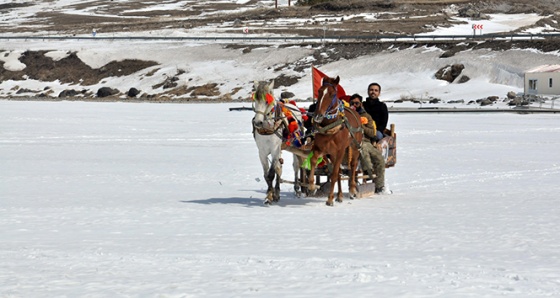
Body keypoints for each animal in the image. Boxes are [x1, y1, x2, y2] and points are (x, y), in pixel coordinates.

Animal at [306, 75, 364, 205]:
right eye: (319, 91)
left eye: (332, 94)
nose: (317, 116)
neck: (331, 127)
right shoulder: (321, 149)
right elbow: (313, 160)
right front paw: (311, 185)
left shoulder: (340, 151)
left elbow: (333, 174)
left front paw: (329, 199)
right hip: (332, 154)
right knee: (338, 172)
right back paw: (340, 196)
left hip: (354, 146)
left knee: (353, 166)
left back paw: (352, 190)